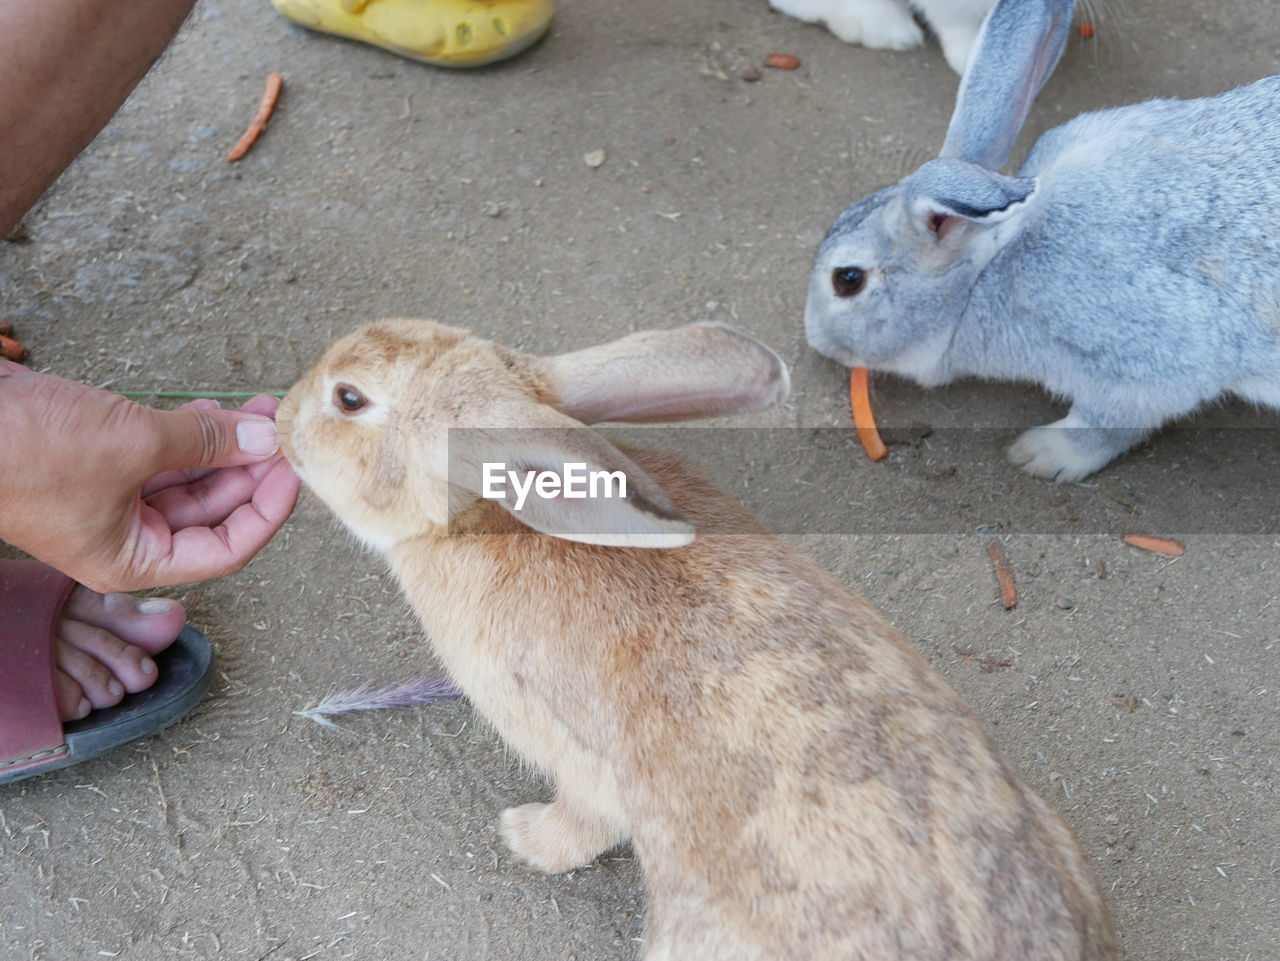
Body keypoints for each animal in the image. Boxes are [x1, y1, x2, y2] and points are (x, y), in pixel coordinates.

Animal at [803, 0, 1280, 481]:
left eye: (847, 279)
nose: (814, 339)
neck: (989, 270)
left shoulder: (1145, 369)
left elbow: (1105, 425)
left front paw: (1041, 455)